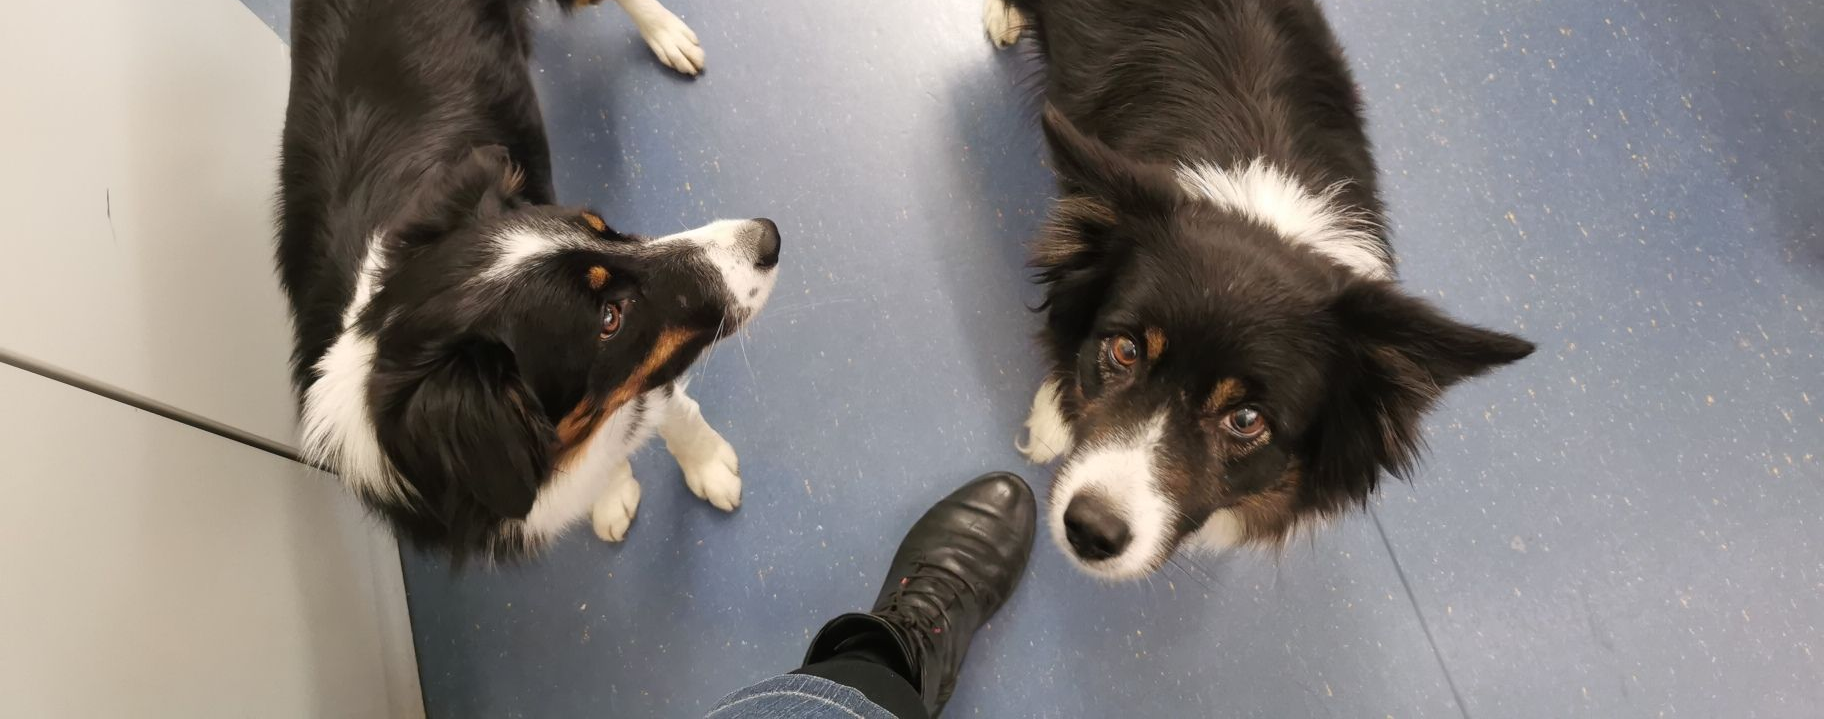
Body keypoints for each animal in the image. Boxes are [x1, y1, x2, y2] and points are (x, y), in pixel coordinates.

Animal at [276, 0, 778, 562]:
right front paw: (611, 492)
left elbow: (675, 413)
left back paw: (667, 34)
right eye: (609, 318)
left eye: (604, 227)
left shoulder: (649, 369)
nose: (769, 237)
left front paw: (707, 465)